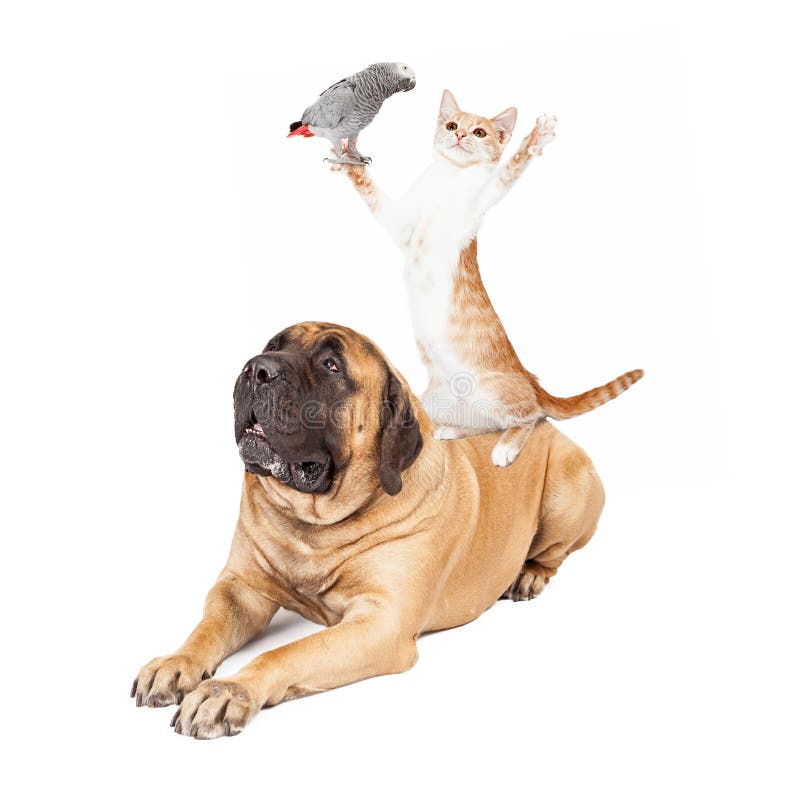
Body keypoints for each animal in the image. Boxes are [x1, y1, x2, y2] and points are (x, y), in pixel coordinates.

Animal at [133, 322, 608, 740]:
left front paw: (228, 690)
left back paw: (529, 574)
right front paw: (176, 662)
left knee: (555, 552)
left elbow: (284, 652)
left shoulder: (382, 622)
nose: (256, 369)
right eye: (272, 345)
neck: (315, 525)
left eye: (331, 365)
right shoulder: (240, 586)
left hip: (568, 486)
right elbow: (209, 626)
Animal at [334, 92, 640, 468]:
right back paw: (452, 430)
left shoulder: (480, 202)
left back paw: (506, 448)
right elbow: (373, 192)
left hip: (493, 391)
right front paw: (350, 165)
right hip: (437, 399)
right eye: (452, 125)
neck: (450, 176)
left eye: (480, 132)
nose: (461, 135)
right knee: (486, 423)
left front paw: (535, 138)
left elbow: (510, 169)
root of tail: (531, 380)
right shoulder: (400, 224)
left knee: (531, 416)